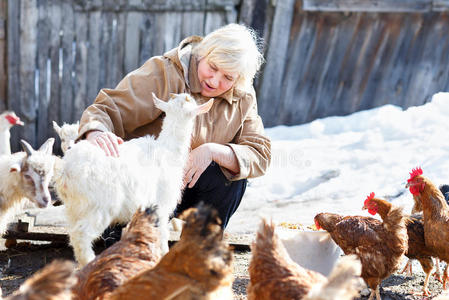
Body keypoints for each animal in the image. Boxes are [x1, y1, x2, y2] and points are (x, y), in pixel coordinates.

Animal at [53, 92, 212, 266]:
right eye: (190, 100)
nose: (189, 95)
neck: (168, 149)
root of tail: (66, 170)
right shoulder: (162, 204)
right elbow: (162, 234)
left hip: (75, 208)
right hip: (100, 205)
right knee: (81, 234)